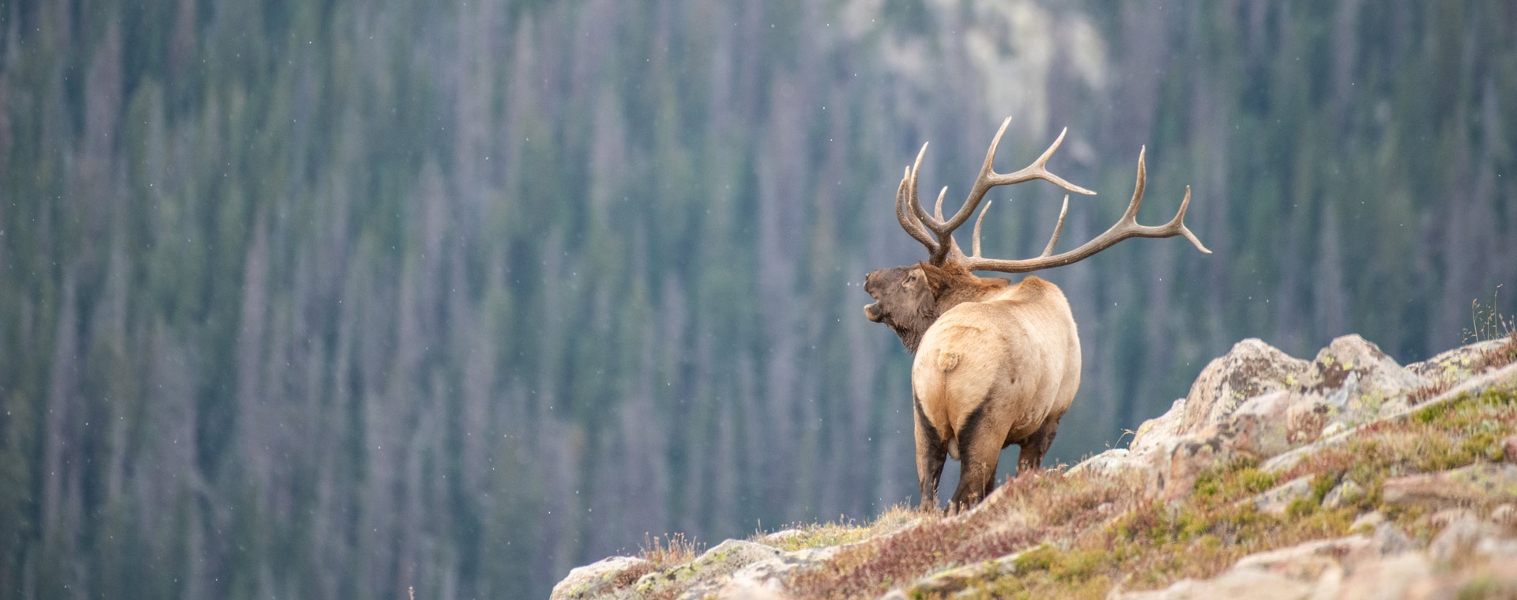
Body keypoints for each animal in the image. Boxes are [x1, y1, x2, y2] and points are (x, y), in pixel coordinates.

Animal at [862, 117, 1210, 511]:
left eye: (911, 277)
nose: (869, 277)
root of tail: (947, 357)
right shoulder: (1050, 419)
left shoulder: (1044, 421)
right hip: (985, 425)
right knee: (963, 495)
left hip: (926, 419)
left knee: (930, 497)